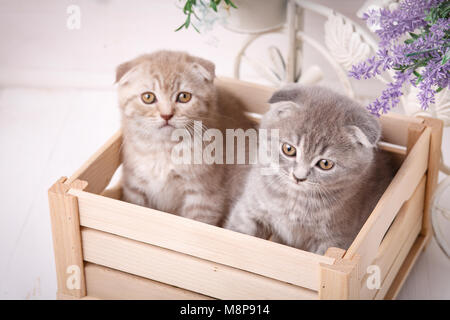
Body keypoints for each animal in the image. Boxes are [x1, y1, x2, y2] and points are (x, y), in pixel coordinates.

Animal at [117, 50, 253, 225]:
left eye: (184, 97)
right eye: (148, 97)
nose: (166, 115)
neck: (165, 150)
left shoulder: (204, 197)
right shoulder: (134, 187)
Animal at [225, 85, 394, 255]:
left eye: (325, 164)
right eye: (289, 149)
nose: (298, 177)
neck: (294, 199)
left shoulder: (335, 240)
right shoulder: (250, 209)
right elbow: (238, 232)